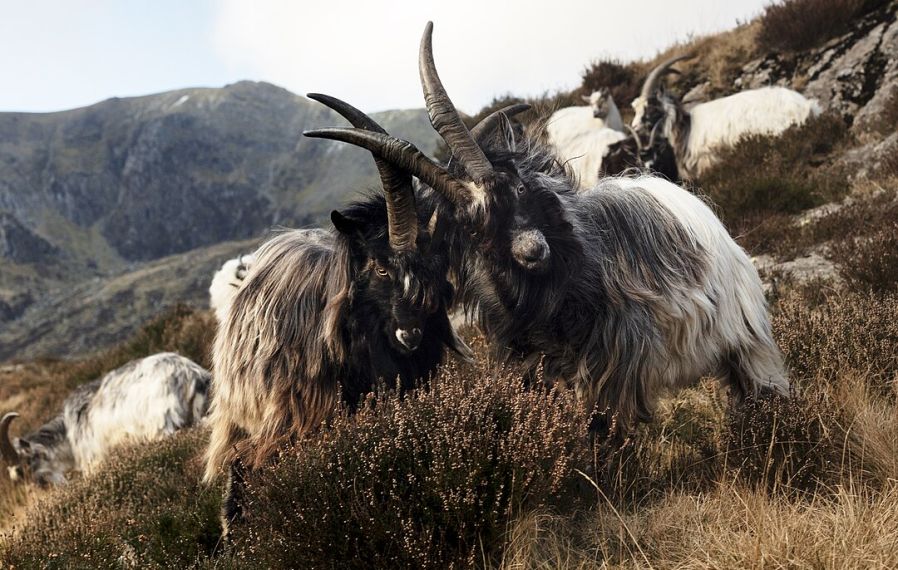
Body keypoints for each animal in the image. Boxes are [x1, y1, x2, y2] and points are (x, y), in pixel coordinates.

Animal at [1, 352, 209, 486]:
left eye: (23, 467)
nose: (47, 486)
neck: (68, 434)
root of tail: (192, 376)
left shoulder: (94, 460)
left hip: (162, 425)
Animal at [313, 22, 789, 443]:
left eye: (519, 188)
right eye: (474, 227)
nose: (531, 250)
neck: (560, 291)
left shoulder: (614, 366)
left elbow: (605, 432)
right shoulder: (534, 366)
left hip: (746, 338)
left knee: (760, 384)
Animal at [632, 56, 821, 180]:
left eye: (649, 106)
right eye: (636, 108)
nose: (634, 126)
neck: (686, 127)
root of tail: (806, 107)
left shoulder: (706, 161)